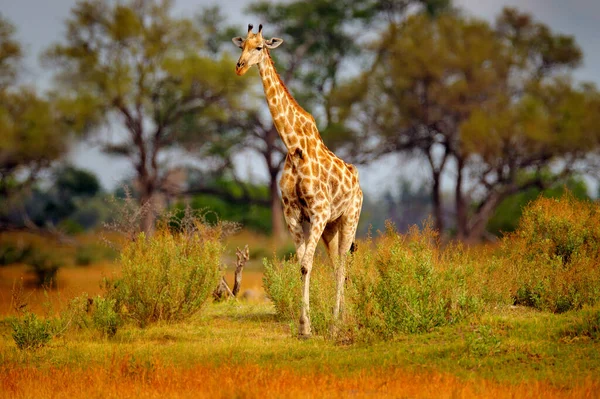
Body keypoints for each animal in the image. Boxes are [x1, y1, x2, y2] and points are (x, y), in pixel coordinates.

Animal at [232, 23, 364, 340]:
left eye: (259, 47)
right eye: (241, 46)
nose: (239, 67)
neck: (293, 147)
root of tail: (358, 183)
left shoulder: (318, 211)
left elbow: (306, 264)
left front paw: (308, 327)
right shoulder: (292, 213)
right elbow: (302, 264)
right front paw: (306, 326)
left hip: (348, 219)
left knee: (343, 266)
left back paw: (336, 323)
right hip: (330, 228)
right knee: (335, 266)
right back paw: (338, 319)